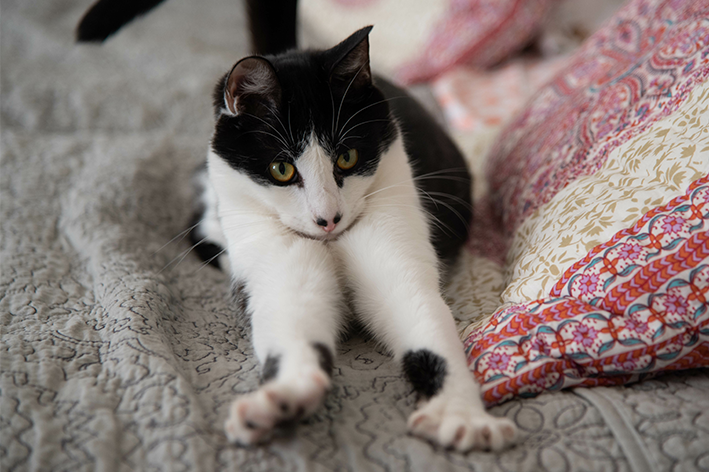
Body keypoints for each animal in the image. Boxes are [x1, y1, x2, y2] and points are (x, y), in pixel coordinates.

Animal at [194, 27, 516, 452]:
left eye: (346, 157)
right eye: (281, 169)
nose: (328, 219)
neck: (331, 244)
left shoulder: (396, 241)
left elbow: (422, 315)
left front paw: (460, 414)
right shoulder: (276, 268)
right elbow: (289, 316)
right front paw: (285, 396)